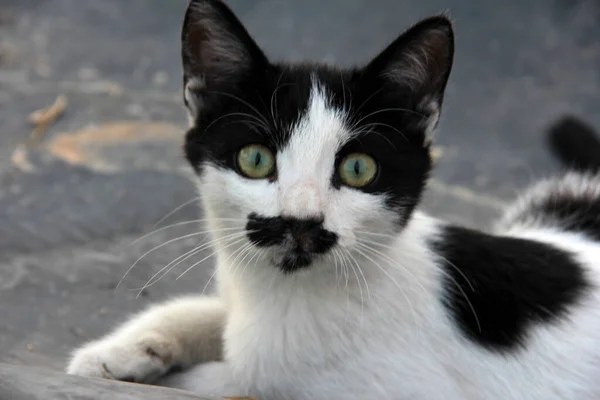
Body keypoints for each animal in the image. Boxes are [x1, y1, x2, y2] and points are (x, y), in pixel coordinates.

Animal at [64, 1, 600, 398]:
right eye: (255, 159)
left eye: (358, 169)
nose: (300, 221)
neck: (292, 297)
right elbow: (203, 313)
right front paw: (115, 351)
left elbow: (235, 383)